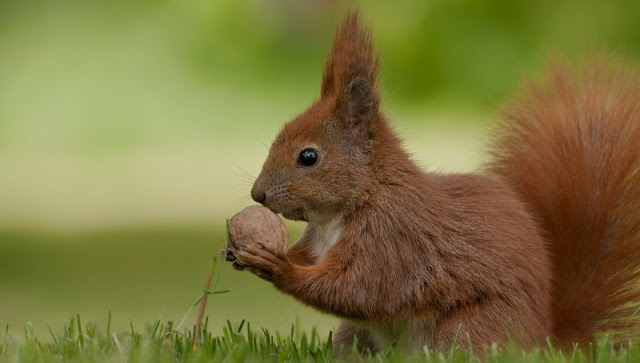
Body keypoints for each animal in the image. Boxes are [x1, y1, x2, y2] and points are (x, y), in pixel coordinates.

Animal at [228, 12, 640, 356]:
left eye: (309, 157)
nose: (257, 194)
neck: (352, 204)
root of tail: (545, 341)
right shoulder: (322, 241)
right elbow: (317, 266)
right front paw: (241, 250)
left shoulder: (394, 239)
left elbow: (358, 290)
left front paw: (277, 266)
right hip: (356, 336)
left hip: (466, 331)